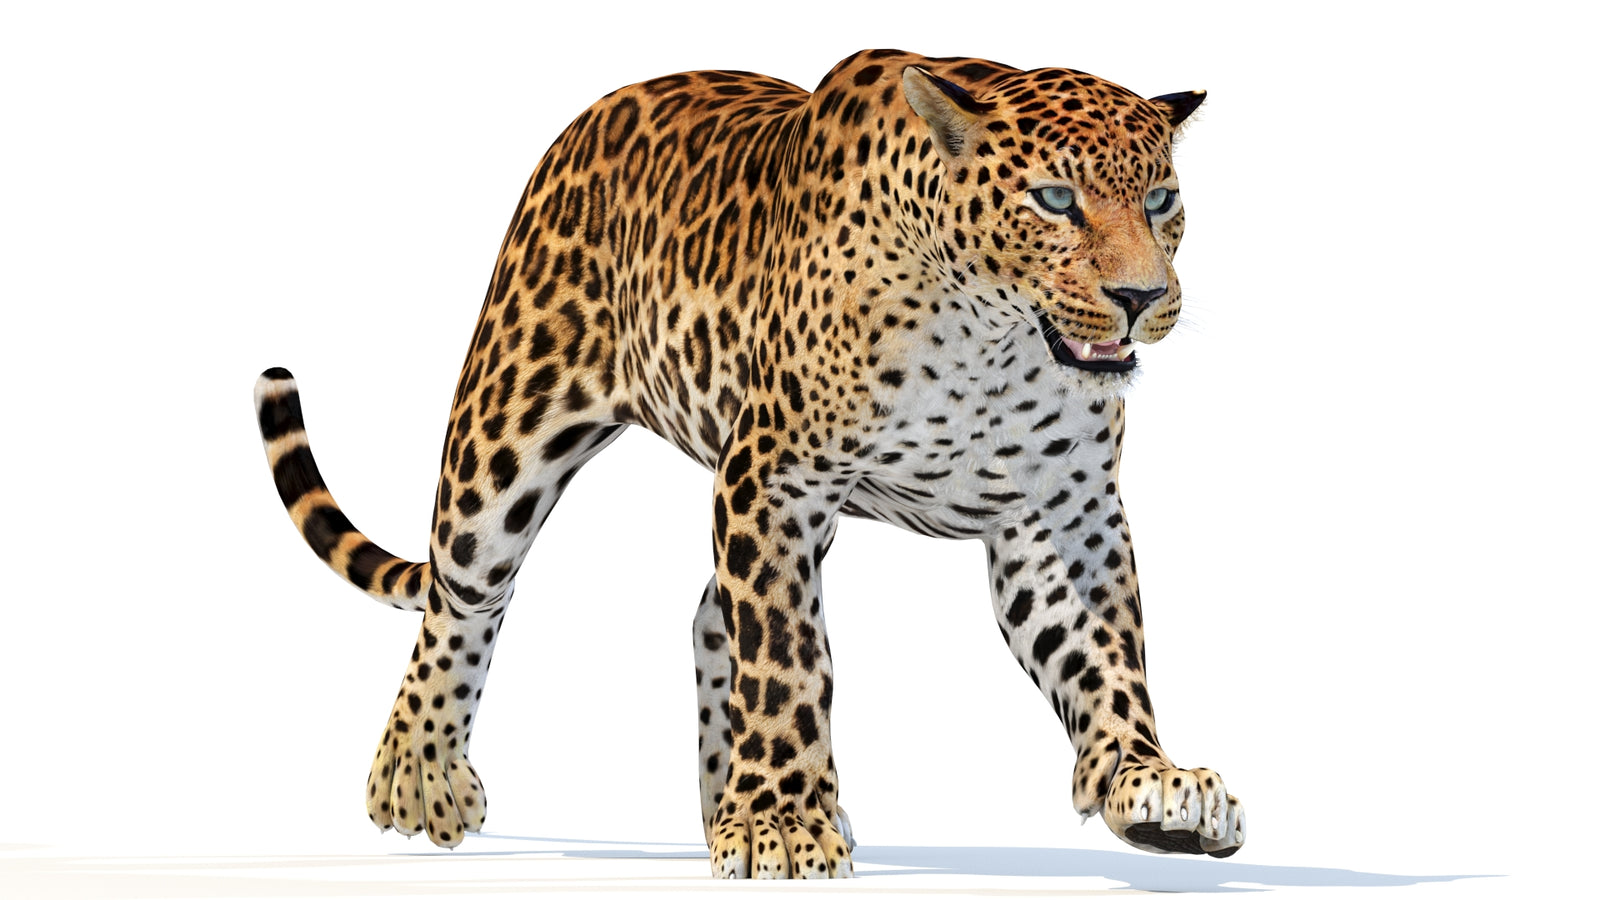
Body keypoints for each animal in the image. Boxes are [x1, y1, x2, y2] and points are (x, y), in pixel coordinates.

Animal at [254, 48, 1242, 879]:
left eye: (1161, 201)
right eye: (1054, 200)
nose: (1141, 296)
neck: (991, 342)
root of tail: (598, 110)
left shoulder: (1060, 510)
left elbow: (1105, 650)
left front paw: (1149, 781)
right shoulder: (775, 478)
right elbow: (786, 653)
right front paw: (781, 822)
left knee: (704, 612)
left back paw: (726, 801)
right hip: (508, 420)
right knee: (464, 597)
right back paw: (419, 773)